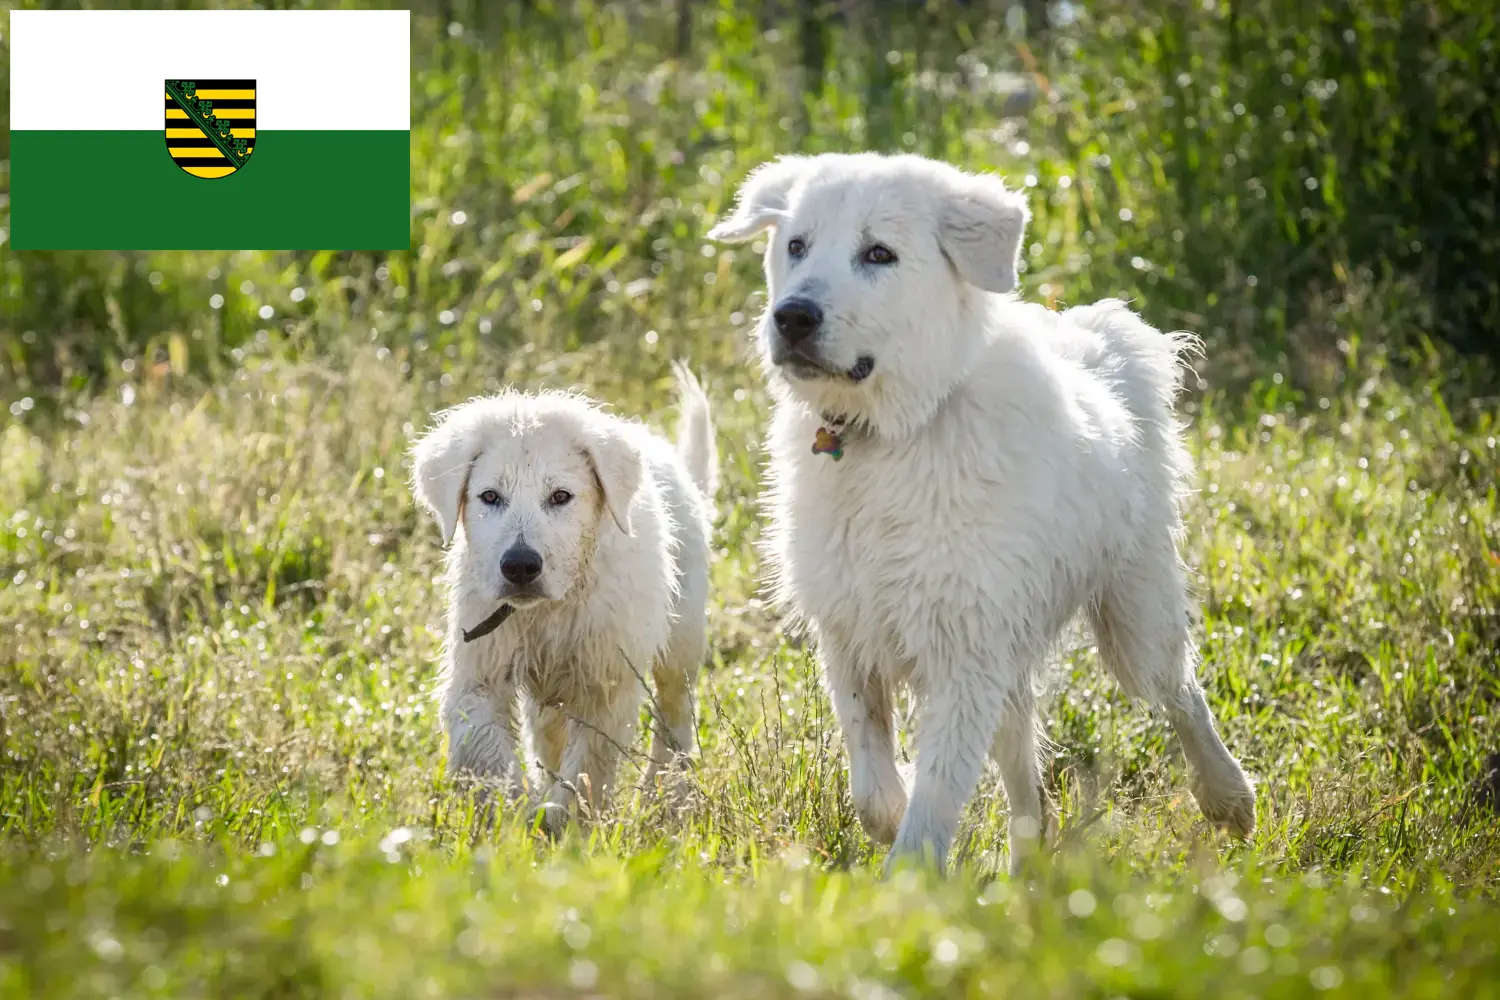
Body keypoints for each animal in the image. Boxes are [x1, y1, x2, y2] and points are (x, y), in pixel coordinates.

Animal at [411, 364, 714, 833]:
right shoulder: (478, 669)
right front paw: (514, 817)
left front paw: (564, 824)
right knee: (548, 735)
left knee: (675, 717)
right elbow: (485, 751)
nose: (520, 567)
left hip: (680, 640)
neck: (550, 609)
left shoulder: (607, 681)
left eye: (560, 497)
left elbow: (589, 764)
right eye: (490, 497)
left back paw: (663, 798)